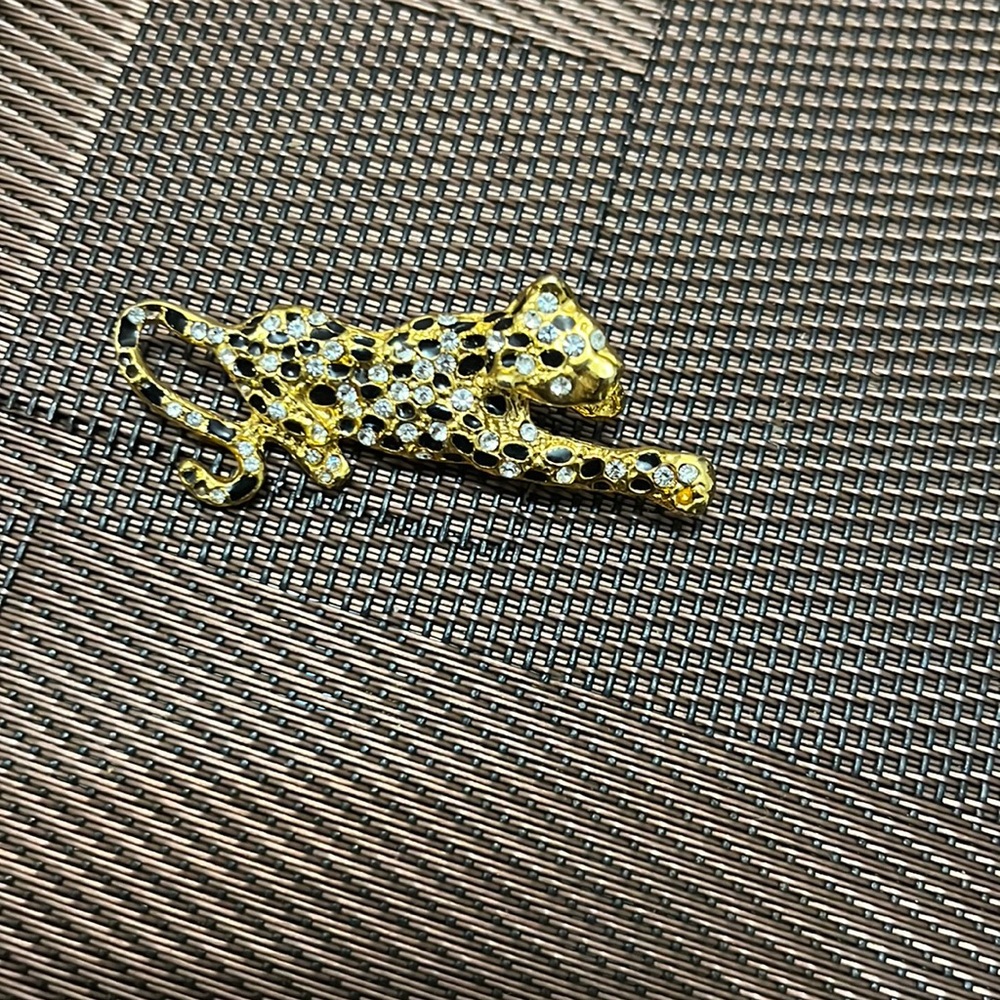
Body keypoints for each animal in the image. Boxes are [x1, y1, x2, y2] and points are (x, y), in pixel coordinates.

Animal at [114, 275, 715, 516]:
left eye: (595, 338)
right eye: (560, 362)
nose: (613, 374)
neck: (481, 347)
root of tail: (230, 335)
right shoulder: (509, 450)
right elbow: (601, 462)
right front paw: (682, 477)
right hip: (278, 399)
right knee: (298, 439)